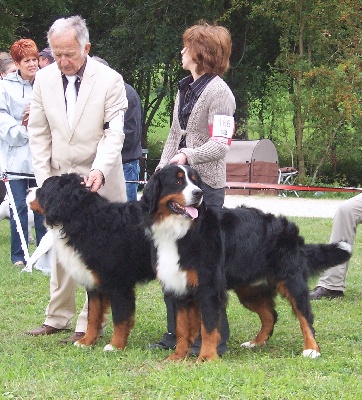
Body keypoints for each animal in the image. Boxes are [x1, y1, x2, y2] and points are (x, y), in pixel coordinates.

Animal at [141, 165, 350, 362]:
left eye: (195, 182)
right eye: (177, 182)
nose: (198, 193)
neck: (180, 231)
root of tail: (292, 232)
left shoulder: (209, 288)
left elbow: (208, 327)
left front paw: (206, 357)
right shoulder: (179, 288)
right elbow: (182, 328)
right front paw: (177, 356)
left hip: (292, 282)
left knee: (305, 317)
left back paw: (312, 349)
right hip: (249, 290)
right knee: (270, 315)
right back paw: (256, 342)